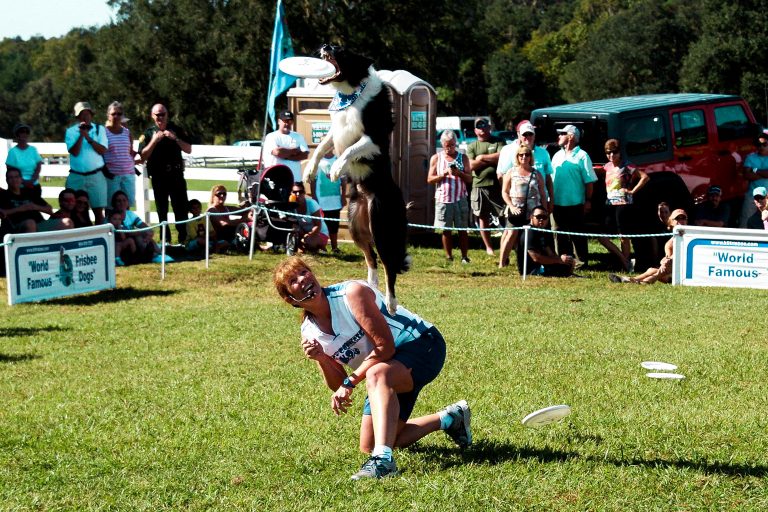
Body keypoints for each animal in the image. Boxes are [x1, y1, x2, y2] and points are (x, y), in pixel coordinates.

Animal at [304, 45, 412, 316]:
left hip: (381, 224)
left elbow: (349, 150)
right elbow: (320, 147)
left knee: (388, 265)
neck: (350, 92)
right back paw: (369, 287)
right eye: (332, 46)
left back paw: (391, 303)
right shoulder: (334, 131)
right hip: (355, 225)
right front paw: (309, 170)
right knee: (370, 258)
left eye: (341, 51)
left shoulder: (373, 137)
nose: (325, 46)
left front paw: (336, 169)